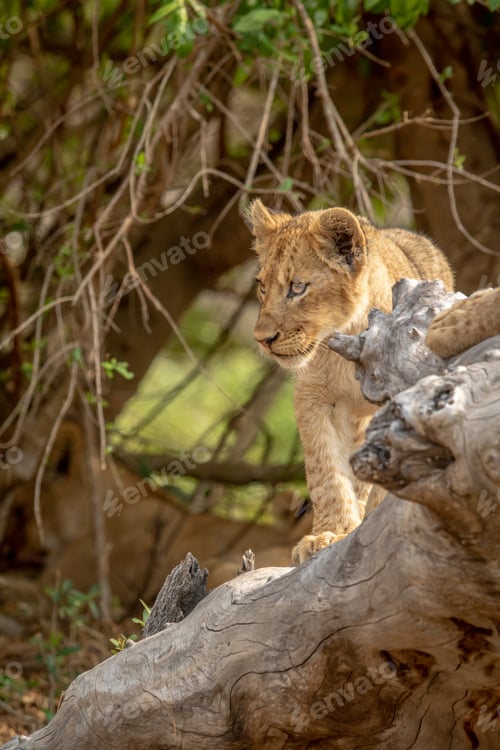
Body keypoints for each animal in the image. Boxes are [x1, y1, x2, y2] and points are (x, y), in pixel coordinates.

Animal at [247, 199, 454, 563]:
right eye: (262, 287)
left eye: (297, 287)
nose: (263, 339)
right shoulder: (314, 399)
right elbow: (325, 470)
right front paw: (329, 533)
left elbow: (376, 471)